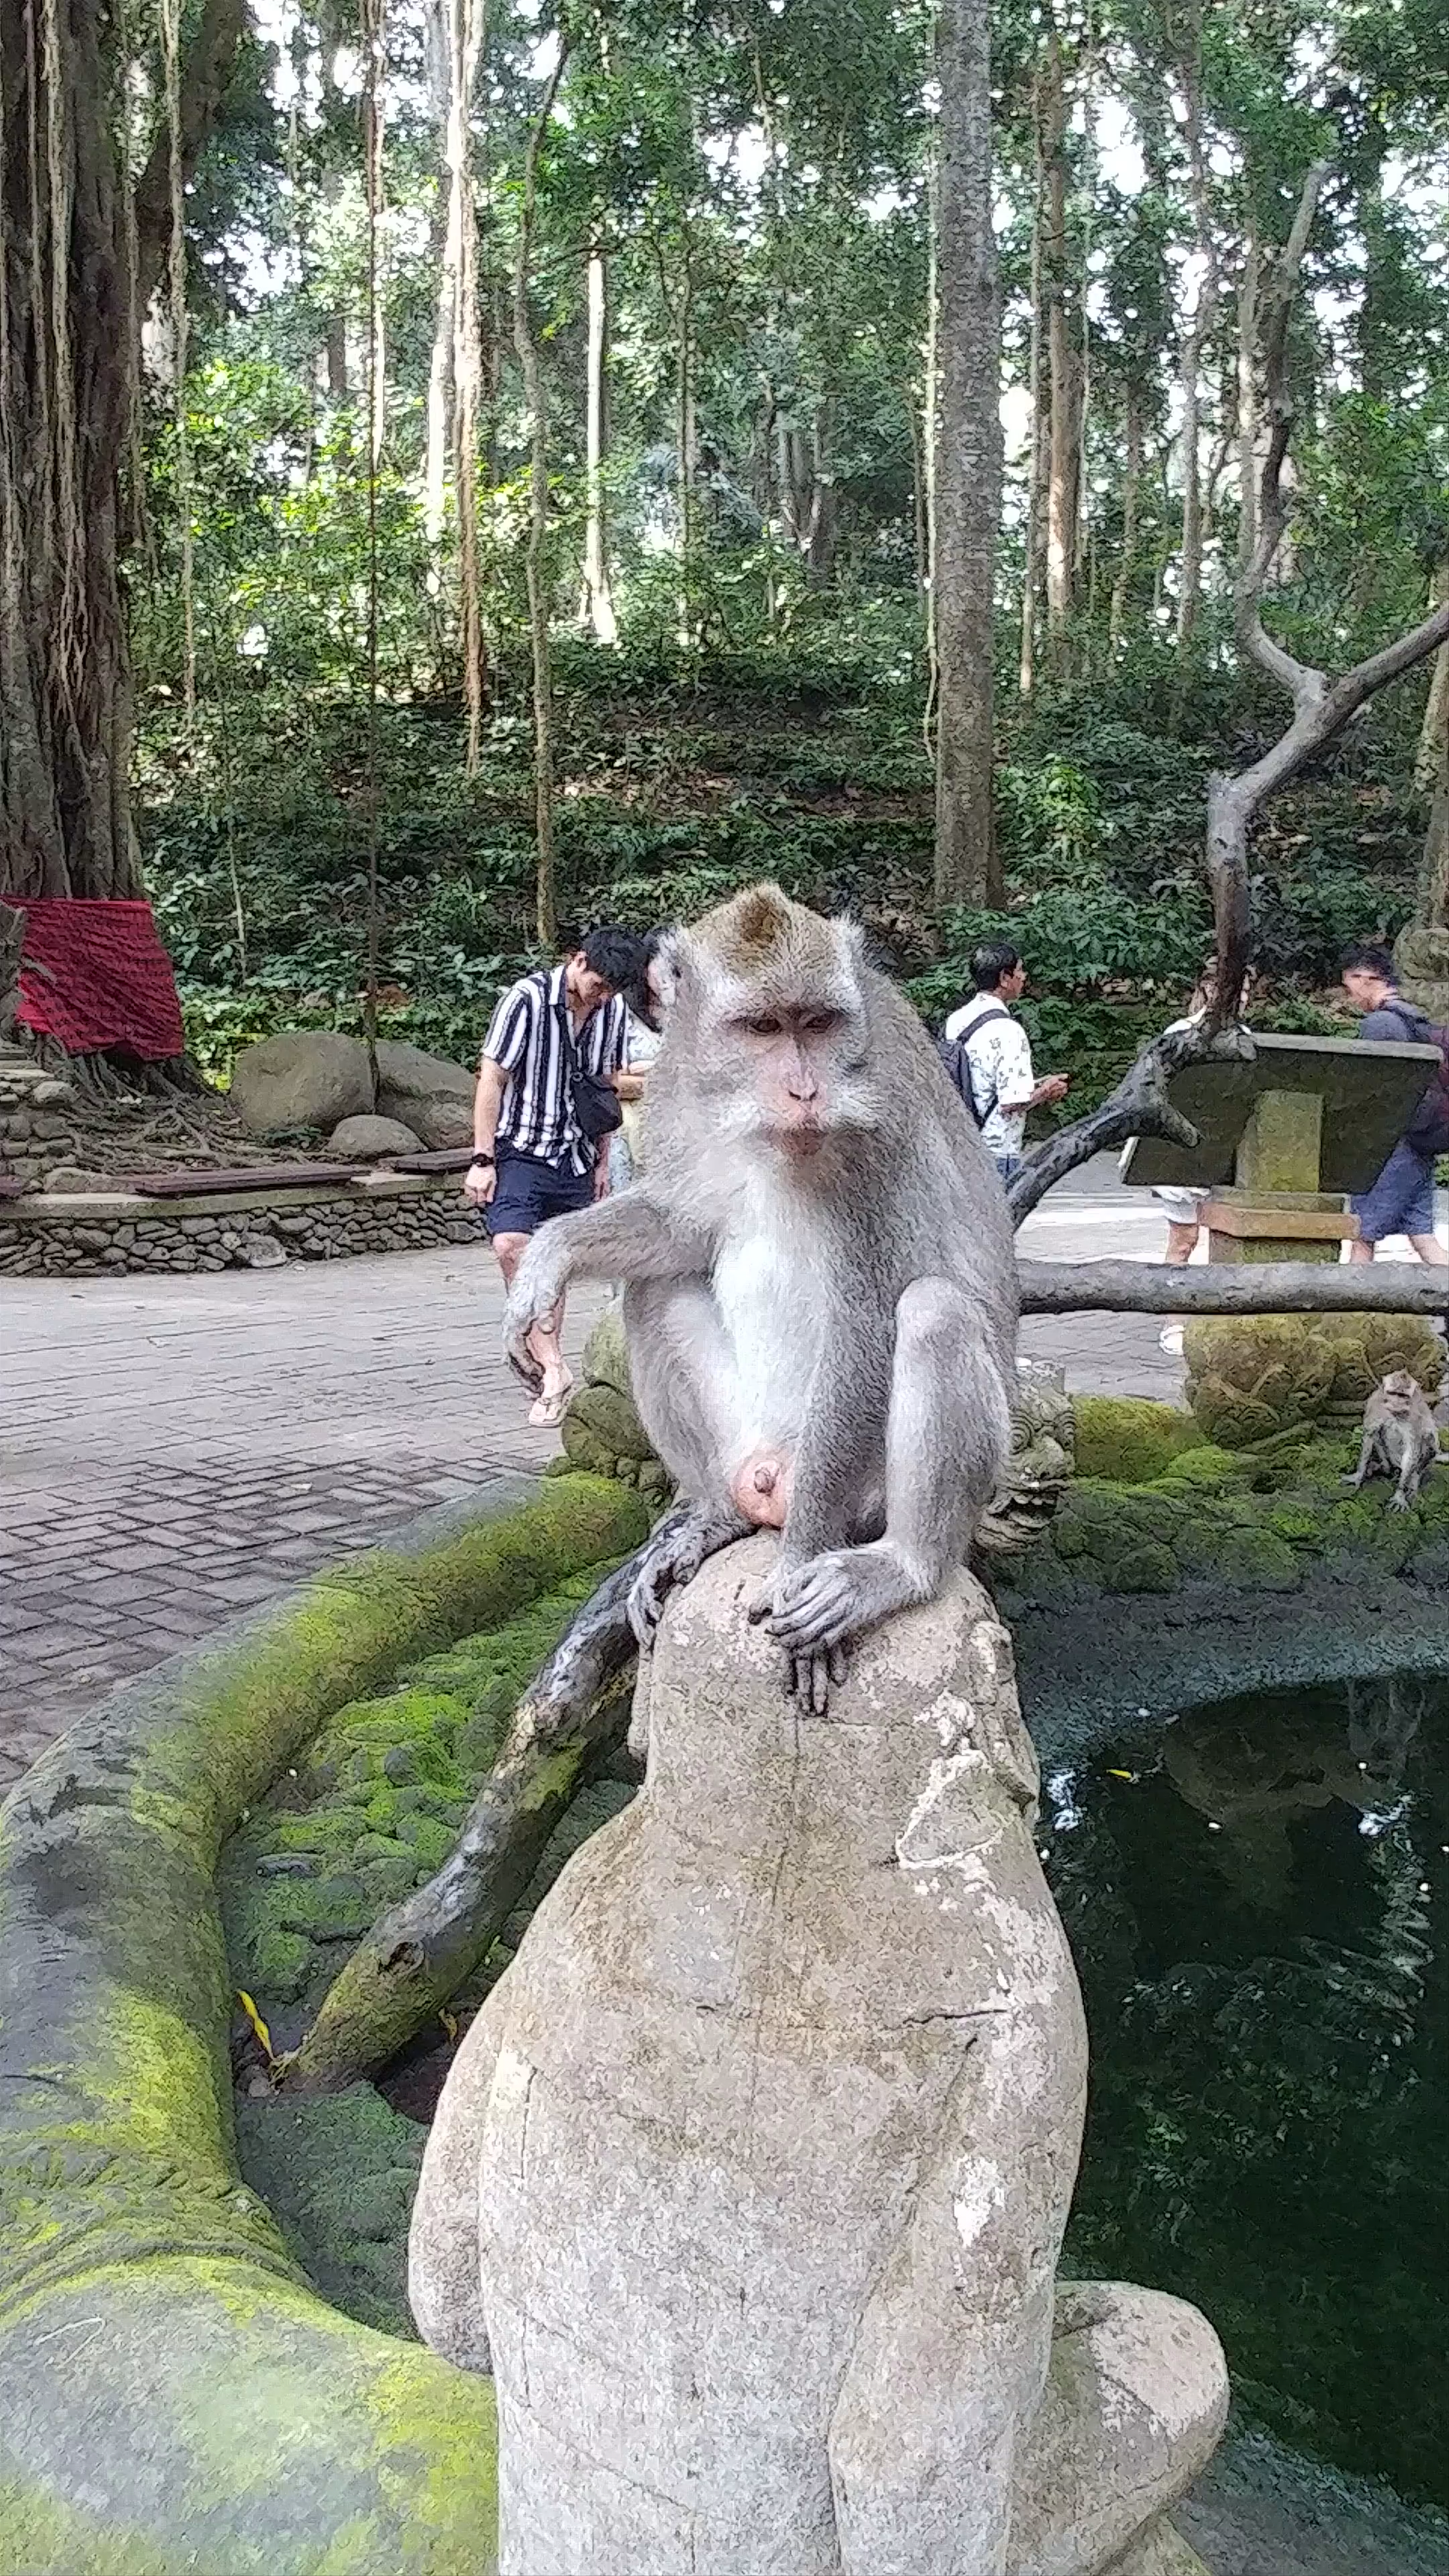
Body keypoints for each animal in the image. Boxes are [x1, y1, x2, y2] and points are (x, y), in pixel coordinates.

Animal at [503, 881, 1018, 1708]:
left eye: (817, 1023)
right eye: (763, 1027)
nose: (805, 1089)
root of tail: (774, 1474)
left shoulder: (879, 1122)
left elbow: (867, 1317)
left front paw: (799, 1562)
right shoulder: (674, 1087)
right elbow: (681, 1229)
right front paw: (551, 1256)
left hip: (866, 1490)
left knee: (934, 1311)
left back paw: (899, 1566)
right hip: (746, 1444)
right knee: (650, 1289)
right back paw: (716, 1518)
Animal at [1343, 1368, 1446, 1512]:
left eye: (1402, 1396)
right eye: (1393, 1393)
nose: (1396, 1404)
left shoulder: (1414, 1416)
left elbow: (1412, 1448)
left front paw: (1400, 1494)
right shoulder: (1375, 1404)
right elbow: (1370, 1434)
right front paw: (1359, 1474)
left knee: (1429, 1436)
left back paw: (1413, 1481)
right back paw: (1384, 1468)